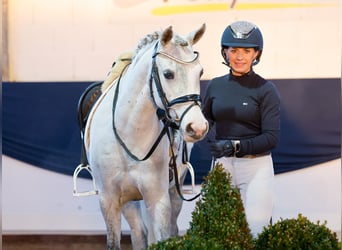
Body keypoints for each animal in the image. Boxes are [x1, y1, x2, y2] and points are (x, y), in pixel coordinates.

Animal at [83, 24, 207, 249]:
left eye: (200, 72)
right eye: (168, 74)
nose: (198, 127)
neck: (129, 133)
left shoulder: (158, 199)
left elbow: (162, 238)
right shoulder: (109, 200)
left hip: (174, 191)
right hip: (129, 201)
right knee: (139, 233)